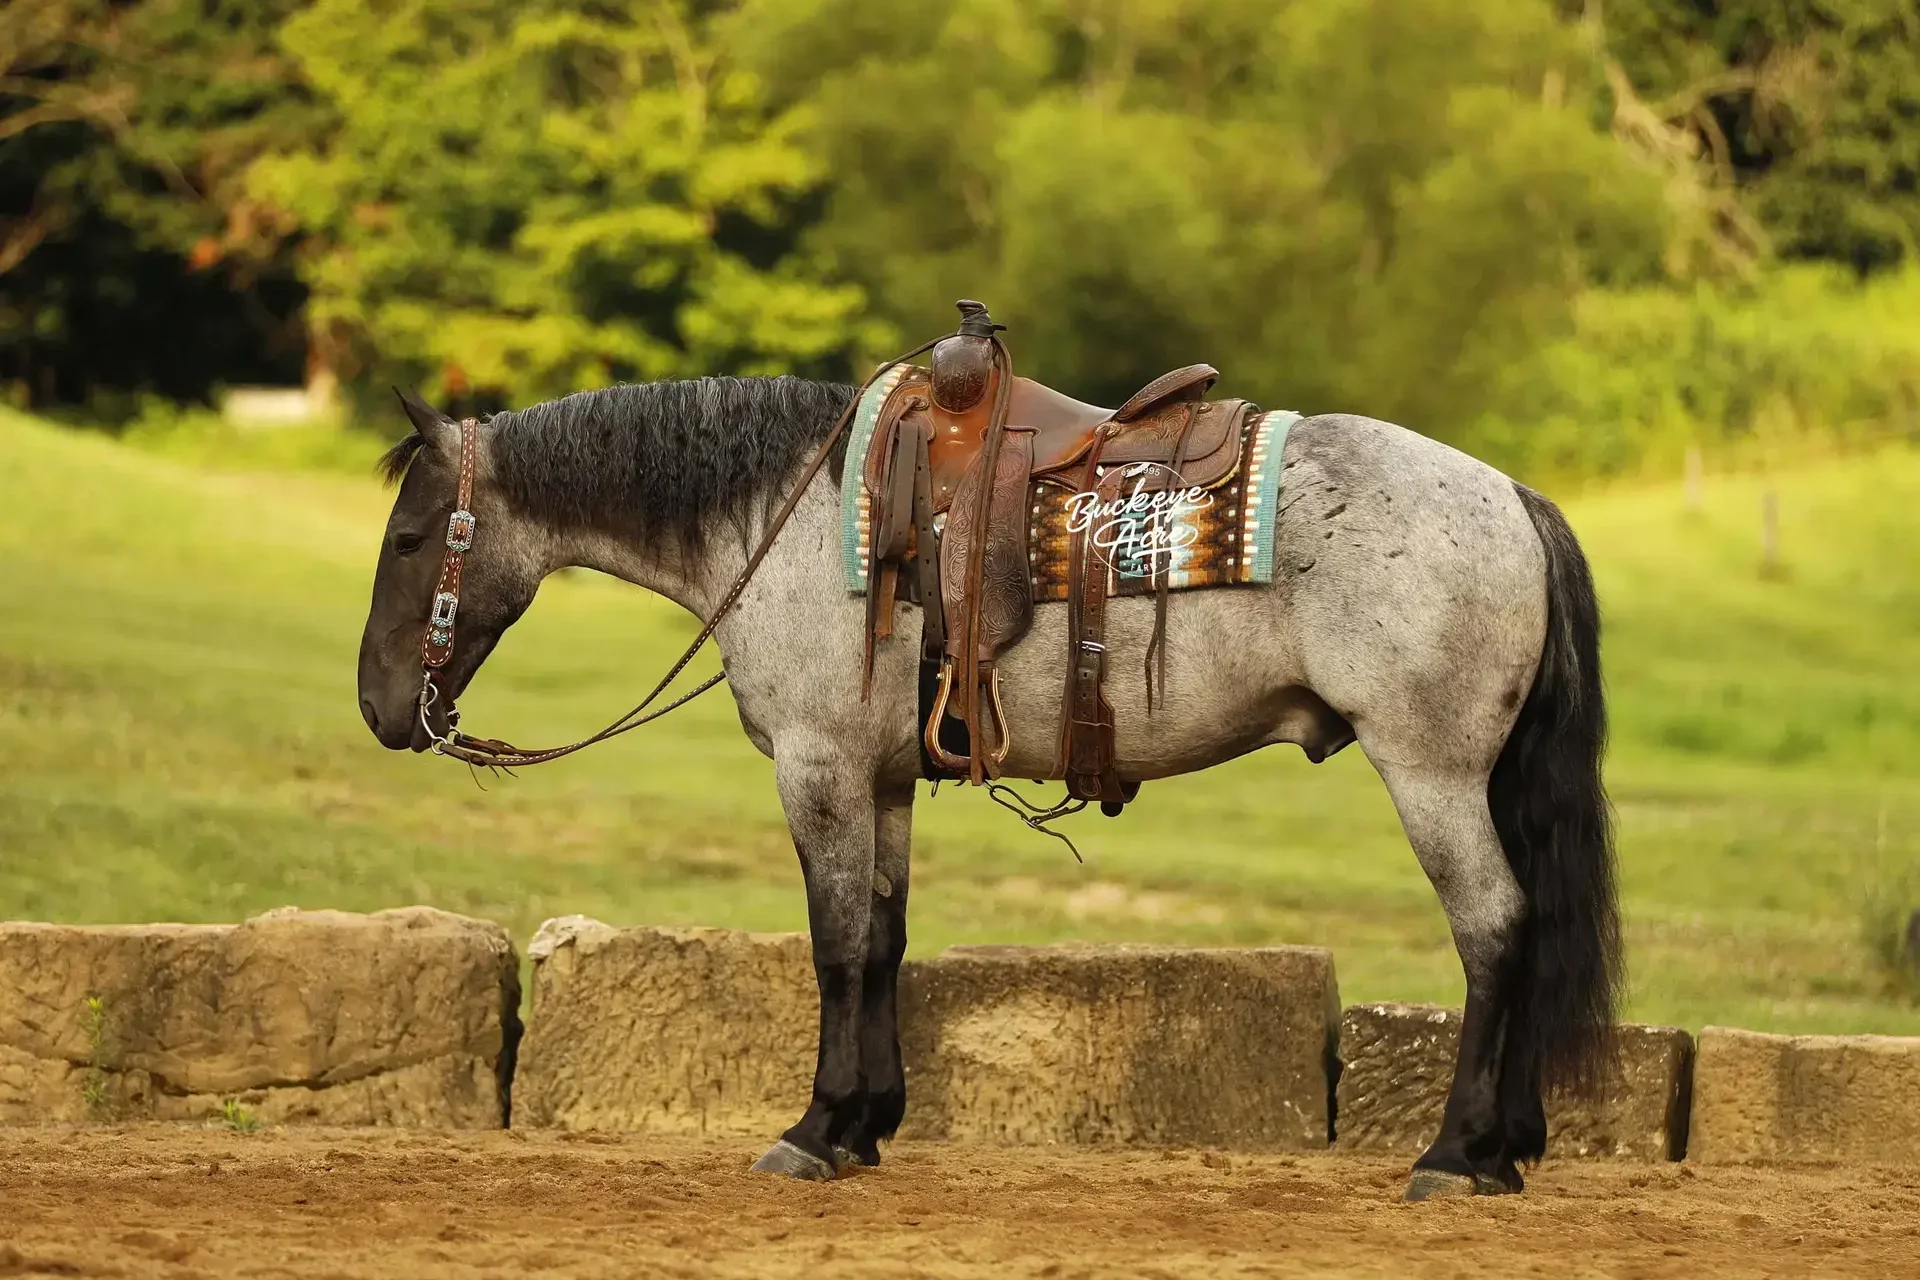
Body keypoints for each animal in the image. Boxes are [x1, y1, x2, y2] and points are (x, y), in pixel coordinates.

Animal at [355, 372, 1620, 1201]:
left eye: (412, 535)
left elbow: (833, 945)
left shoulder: (818, 765)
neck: (794, 518)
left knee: (1496, 929)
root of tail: (1511, 495)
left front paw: (813, 1128)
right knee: (1529, 927)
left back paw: (1456, 1152)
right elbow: (882, 937)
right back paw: (1506, 1147)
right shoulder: (881, 778)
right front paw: (865, 1123)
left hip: (1432, 774)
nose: (377, 706)